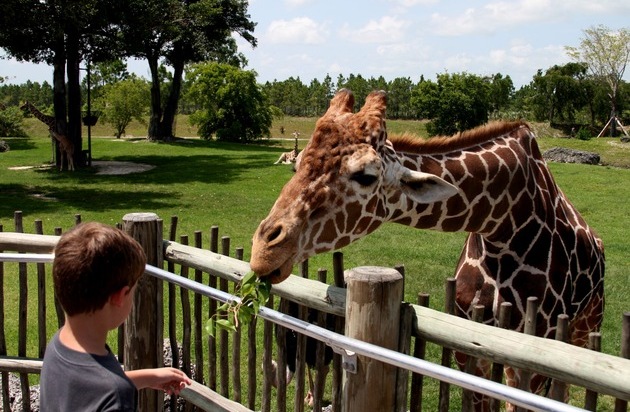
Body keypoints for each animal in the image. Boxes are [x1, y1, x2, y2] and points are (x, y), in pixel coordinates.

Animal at [251, 89, 608, 408]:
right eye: (297, 164)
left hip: (585, 325)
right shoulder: (470, 346)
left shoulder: (530, 357)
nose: (262, 252)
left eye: (365, 176)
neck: (503, 224)